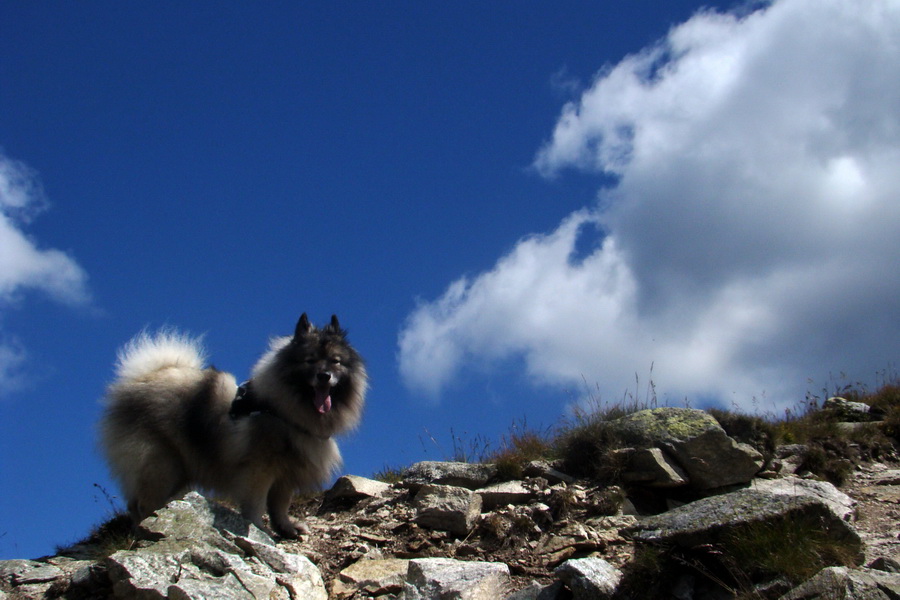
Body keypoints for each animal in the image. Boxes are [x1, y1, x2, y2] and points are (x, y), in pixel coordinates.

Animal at [98, 314, 366, 540]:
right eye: (310, 360)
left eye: (336, 362)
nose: (324, 375)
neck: (281, 410)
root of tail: (140, 380)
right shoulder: (259, 471)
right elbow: (256, 505)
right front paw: (259, 530)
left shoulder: (286, 476)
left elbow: (279, 507)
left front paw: (286, 528)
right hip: (160, 465)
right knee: (139, 505)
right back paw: (144, 531)